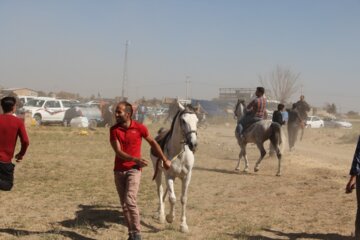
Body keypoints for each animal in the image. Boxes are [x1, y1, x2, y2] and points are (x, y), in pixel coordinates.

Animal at [150, 101, 198, 232]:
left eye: (197, 120)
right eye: (183, 120)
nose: (193, 144)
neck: (179, 154)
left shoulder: (187, 177)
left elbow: (183, 199)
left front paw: (183, 225)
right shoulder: (169, 176)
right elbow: (173, 198)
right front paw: (170, 218)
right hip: (159, 172)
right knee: (160, 189)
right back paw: (160, 215)